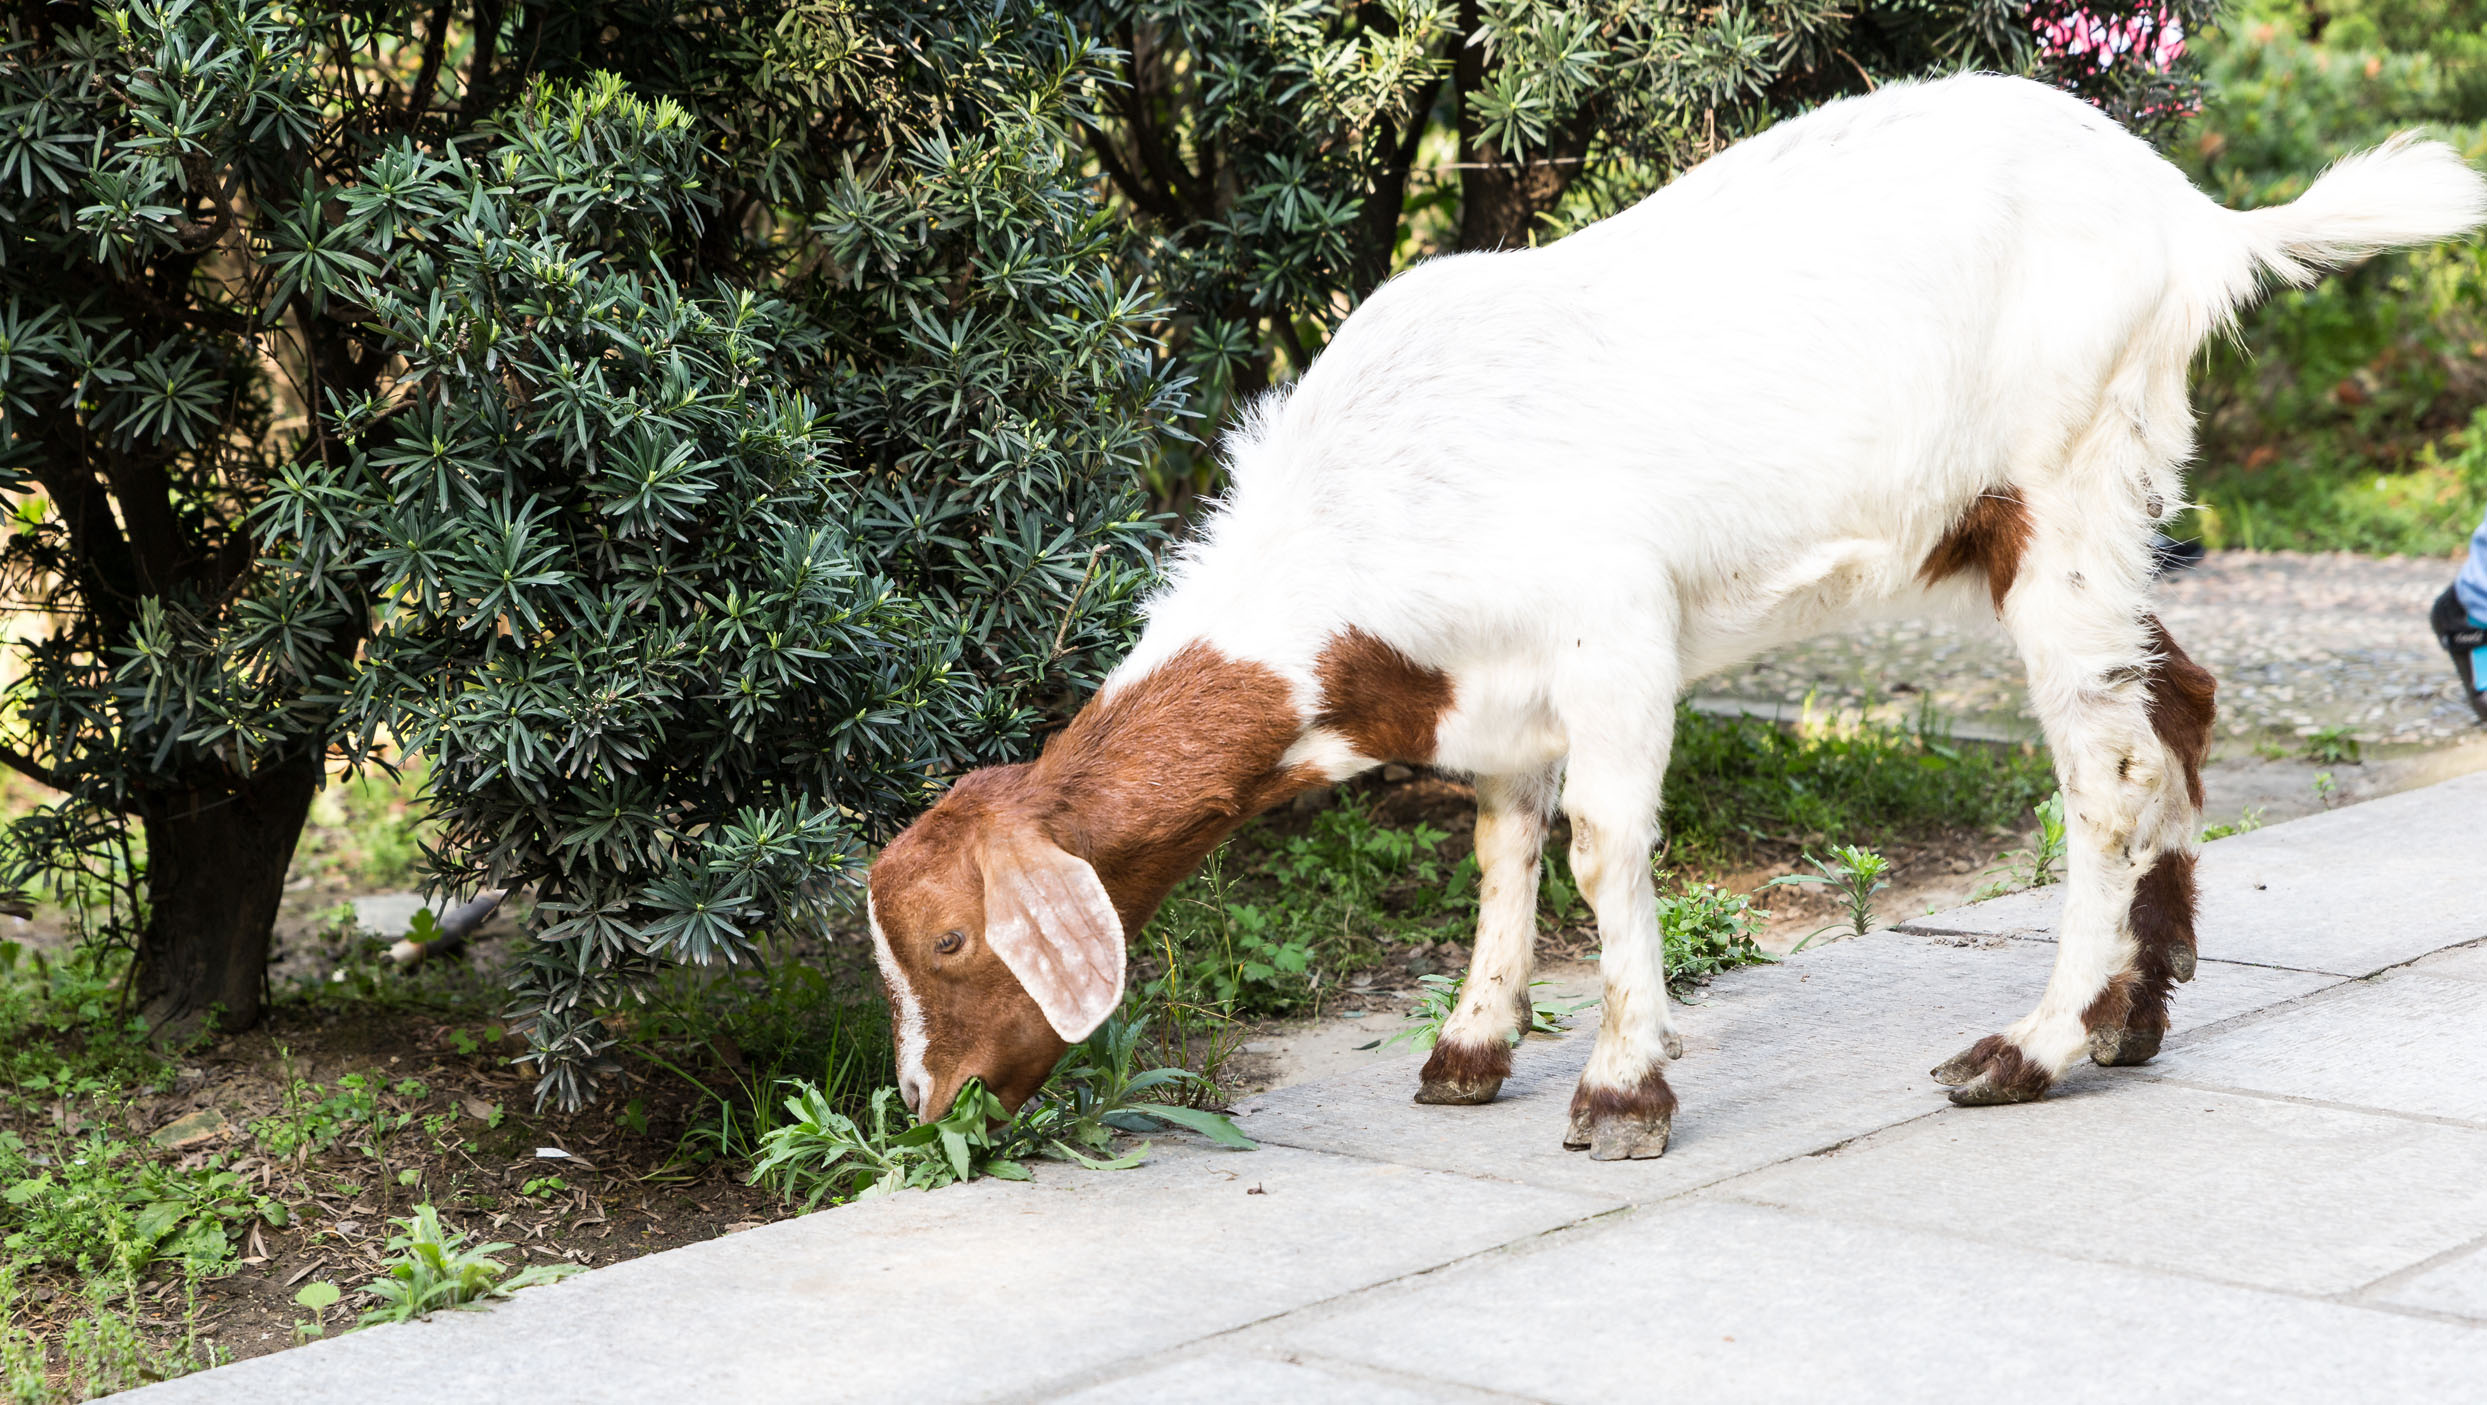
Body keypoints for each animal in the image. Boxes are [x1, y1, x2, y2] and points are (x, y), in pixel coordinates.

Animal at [860, 71, 2487, 1153]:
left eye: (947, 944)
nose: (927, 1101)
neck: (1357, 517)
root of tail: (2196, 218)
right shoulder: (1488, 685)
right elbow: (1500, 846)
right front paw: (1471, 1047)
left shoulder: (1612, 640)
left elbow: (1601, 847)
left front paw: (1621, 1089)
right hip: (2051, 519)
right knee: (2178, 695)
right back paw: (2137, 1013)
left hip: (2064, 482)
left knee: (2107, 767)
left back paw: (2032, 1047)